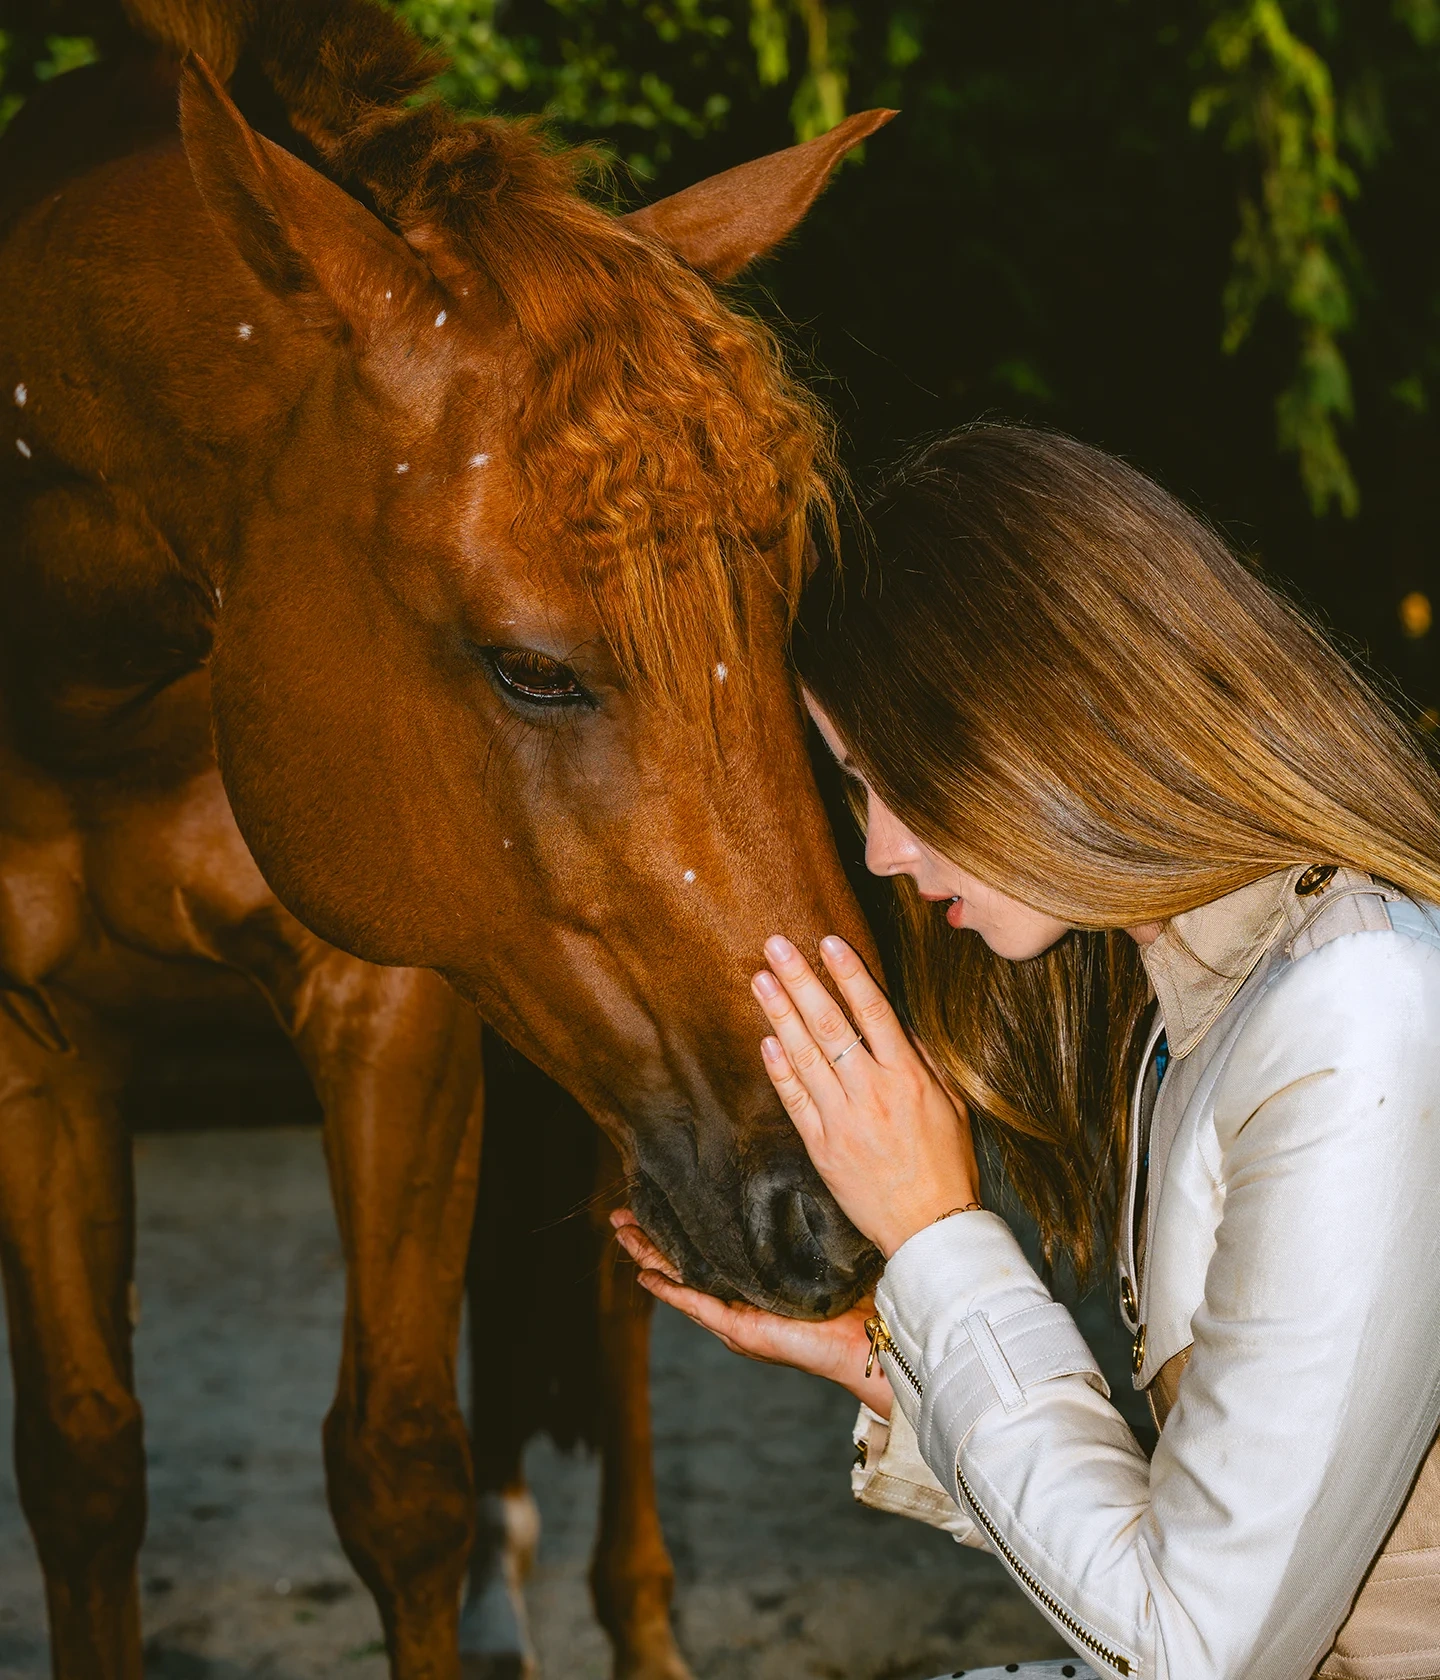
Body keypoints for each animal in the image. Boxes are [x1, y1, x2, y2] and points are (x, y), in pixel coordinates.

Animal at [0, 0, 892, 1673]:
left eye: (780, 613)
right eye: (529, 669)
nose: (837, 1194)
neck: (96, 678)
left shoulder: (389, 1004)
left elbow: (396, 1472)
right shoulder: (40, 1039)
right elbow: (82, 1466)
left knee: (599, 1303)